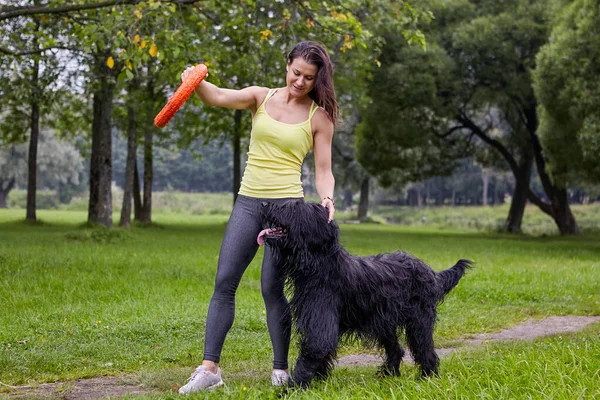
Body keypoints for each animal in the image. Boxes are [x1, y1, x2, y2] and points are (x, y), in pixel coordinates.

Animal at [258, 200, 474, 388]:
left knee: (425, 350)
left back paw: (428, 377)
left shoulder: (322, 321)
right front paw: (319, 380)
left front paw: (293, 387)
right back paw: (388, 374)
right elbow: (320, 354)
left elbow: (314, 350)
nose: (263, 203)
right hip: (384, 321)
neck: (321, 266)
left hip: (419, 321)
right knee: (397, 349)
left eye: (293, 207)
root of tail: (431, 272)